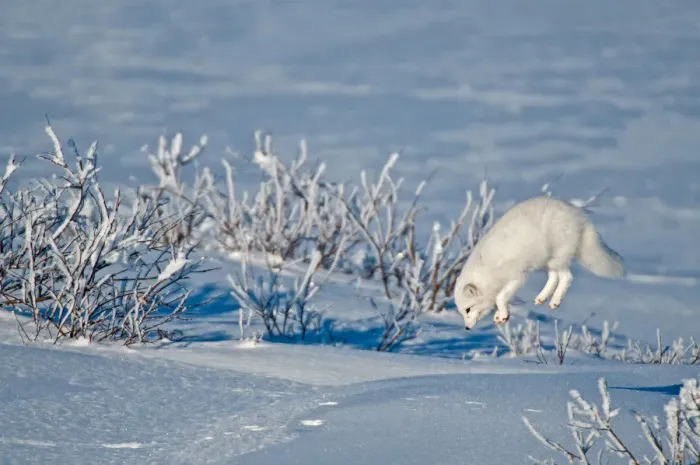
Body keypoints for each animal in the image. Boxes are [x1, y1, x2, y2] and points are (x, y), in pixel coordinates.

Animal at [454, 195, 625, 330]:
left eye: (468, 309)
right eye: (462, 312)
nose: (467, 328)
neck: (486, 270)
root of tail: (578, 214)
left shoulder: (518, 276)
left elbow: (500, 297)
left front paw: (502, 315)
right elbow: (500, 298)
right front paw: (500, 315)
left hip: (556, 258)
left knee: (566, 277)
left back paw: (555, 301)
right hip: (546, 261)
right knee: (554, 277)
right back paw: (542, 298)